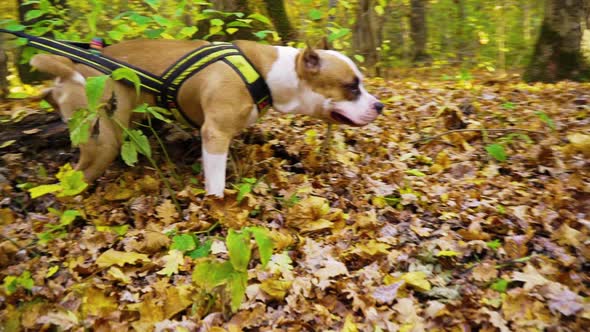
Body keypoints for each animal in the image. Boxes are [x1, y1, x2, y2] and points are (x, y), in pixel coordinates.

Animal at [30, 39, 386, 196]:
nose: (379, 105)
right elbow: (216, 182)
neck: (269, 73)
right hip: (102, 140)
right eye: (351, 87)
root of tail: (72, 66)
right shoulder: (214, 135)